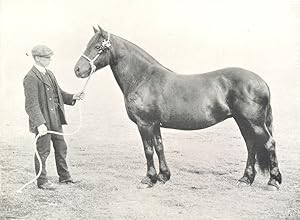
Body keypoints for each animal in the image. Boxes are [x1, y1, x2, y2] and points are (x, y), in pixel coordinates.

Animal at [74, 26, 282, 189]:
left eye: (97, 47)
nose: (77, 70)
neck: (143, 78)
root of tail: (261, 80)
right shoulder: (154, 124)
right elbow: (159, 147)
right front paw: (163, 177)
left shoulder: (144, 124)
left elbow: (148, 149)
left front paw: (148, 179)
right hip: (243, 121)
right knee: (251, 145)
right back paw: (245, 179)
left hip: (254, 122)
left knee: (268, 143)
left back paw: (273, 182)